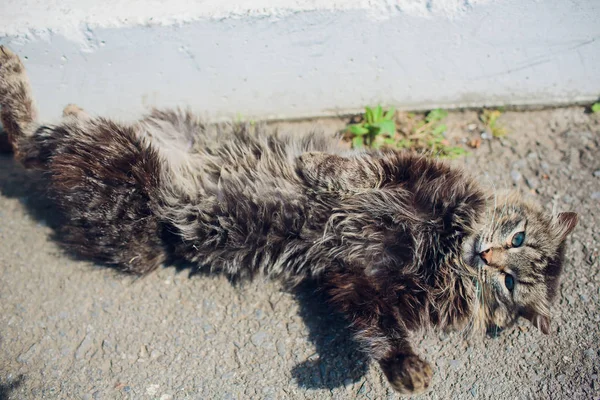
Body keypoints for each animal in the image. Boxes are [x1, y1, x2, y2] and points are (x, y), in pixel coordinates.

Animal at [1, 46, 580, 394]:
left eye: (508, 284)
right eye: (518, 238)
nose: (489, 255)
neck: (441, 249)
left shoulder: (358, 282)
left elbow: (380, 333)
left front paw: (405, 368)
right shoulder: (408, 171)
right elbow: (355, 169)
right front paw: (319, 169)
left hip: (128, 203)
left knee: (37, 145)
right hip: (135, 155)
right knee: (29, 142)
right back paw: (22, 76)